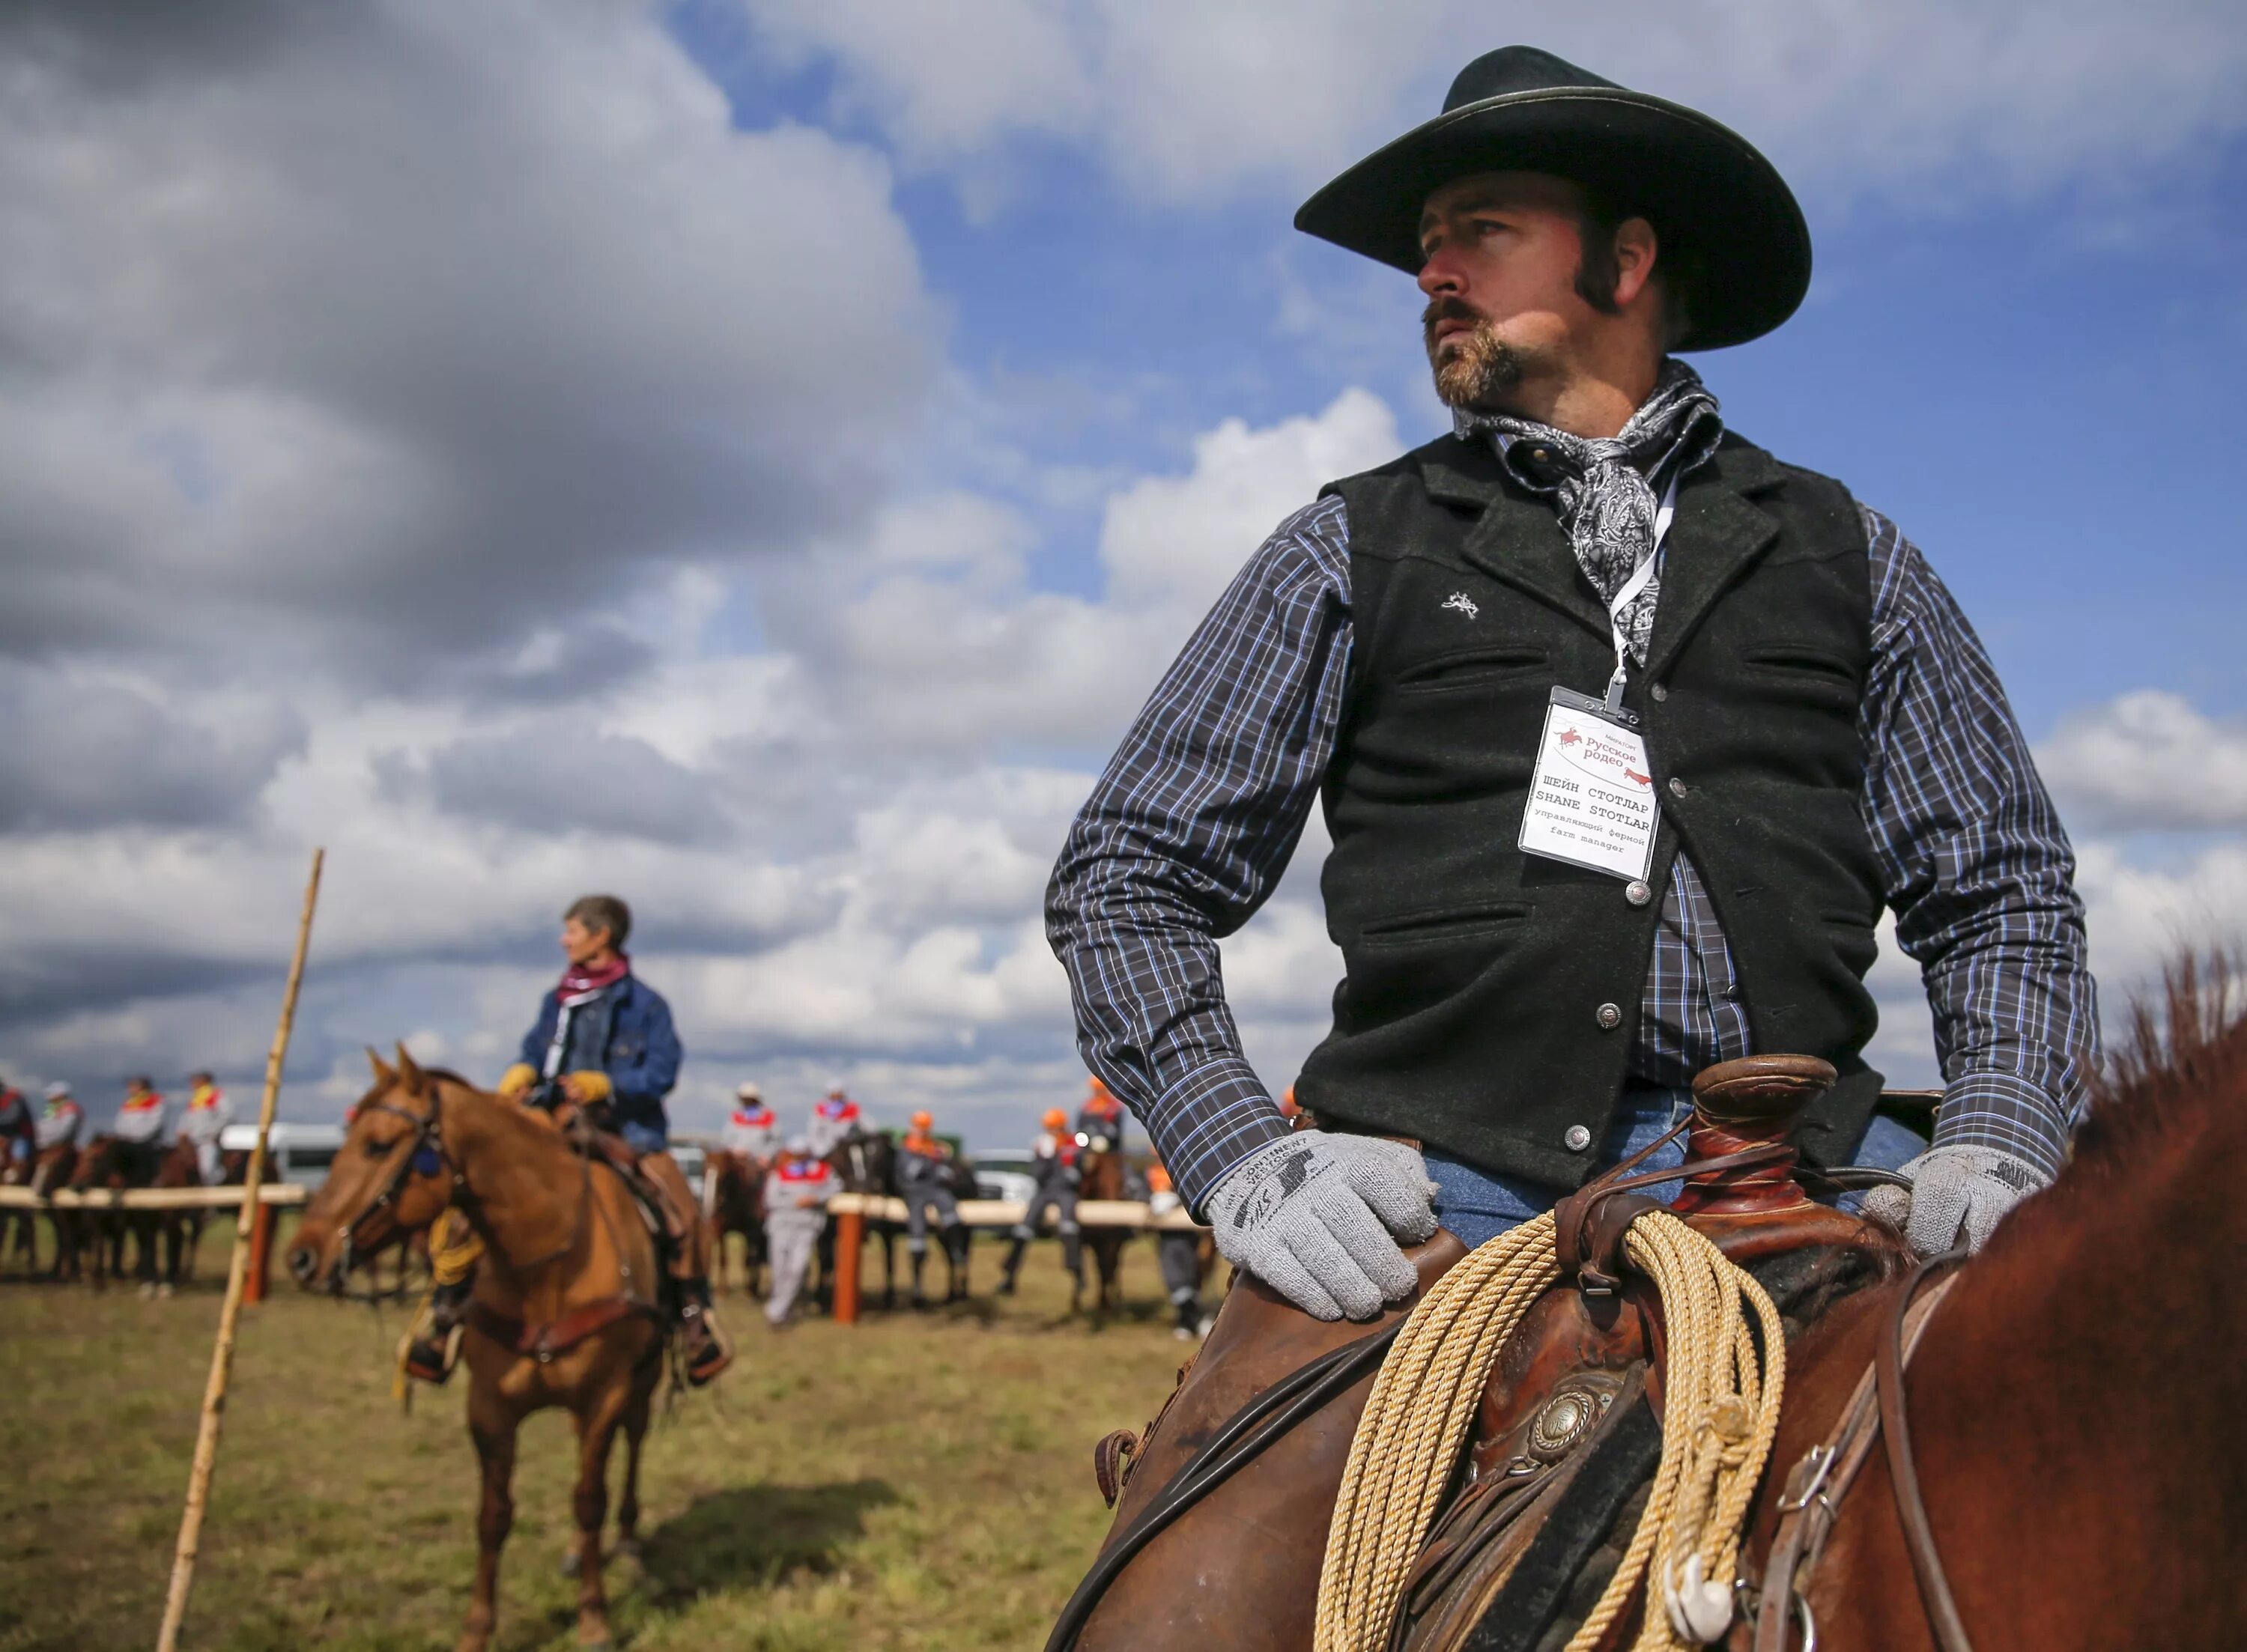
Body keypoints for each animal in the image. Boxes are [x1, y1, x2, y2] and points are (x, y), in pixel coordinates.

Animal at [288, 1051, 665, 1645]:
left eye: (377, 1144)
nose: (302, 1257)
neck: (548, 1267)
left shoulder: (604, 1397)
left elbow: (589, 1501)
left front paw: (594, 1619)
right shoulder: (490, 1408)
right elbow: (493, 1517)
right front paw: (477, 1629)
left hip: (643, 1381)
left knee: (633, 1443)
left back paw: (625, 1538)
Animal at [706, 1141, 768, 1294]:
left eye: (724, 1175)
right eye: (704, 1170)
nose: (713, 1204)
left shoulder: (750, 1232)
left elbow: (748, 1258)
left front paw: (749, 1288)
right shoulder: (719, 1229)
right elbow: (723, 1257)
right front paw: (722, 1288)